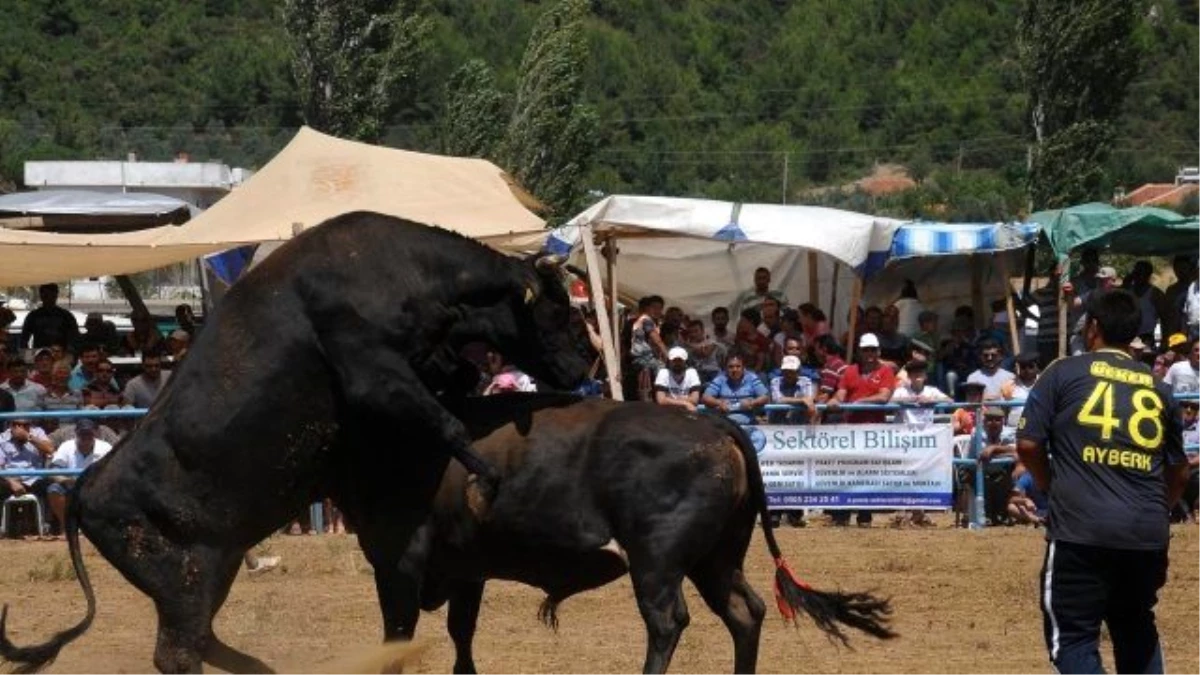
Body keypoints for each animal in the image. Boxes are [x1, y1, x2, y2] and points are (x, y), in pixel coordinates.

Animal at [0, 211, 590, 672]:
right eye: (557, 311)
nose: (585, 366)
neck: (396, 267)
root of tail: (88, 485)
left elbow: (456, 386)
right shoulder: (375, 372)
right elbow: (447, 423)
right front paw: (483, 482)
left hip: (214, 567)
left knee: (203, 642)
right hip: (182, 580)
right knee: (180, 653)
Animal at [388, 393, 897, 672]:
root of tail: (708, 422)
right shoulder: (465, 571)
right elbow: (460, 631)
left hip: (657, 559)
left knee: (667, 622)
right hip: (716, 557)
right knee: (743, 611)